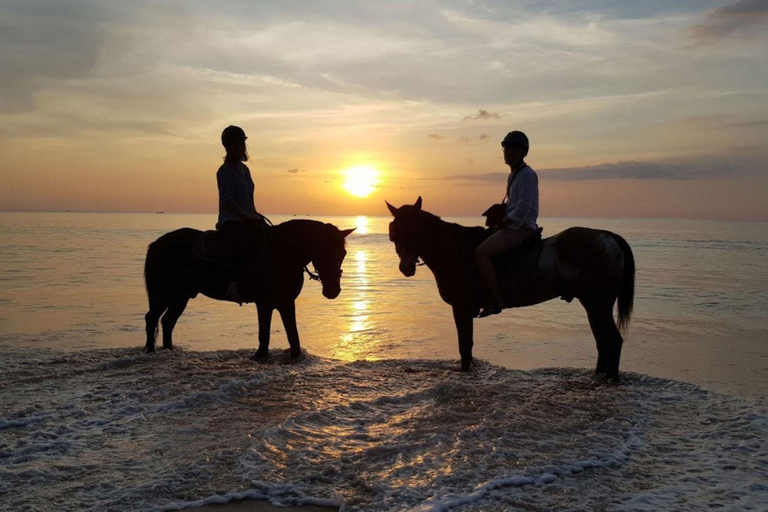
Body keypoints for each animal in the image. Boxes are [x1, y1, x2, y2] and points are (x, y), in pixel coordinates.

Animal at [143, 220, 354, 360]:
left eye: (342, 253)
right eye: (324, 250)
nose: (333, 290)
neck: (282, 253)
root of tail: (156, 244)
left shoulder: (286, 302)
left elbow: (292, 333)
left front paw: (295, 357)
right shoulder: (265, 303)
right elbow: (265, 332)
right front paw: (260, 356)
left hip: (181, 296)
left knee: (168, 321)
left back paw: (168, 351)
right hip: (166, 294)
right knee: (152, 318)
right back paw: (150, 351)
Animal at [388, 198, 632, 382]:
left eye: (413, 230)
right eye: (395, 232)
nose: (405, 267)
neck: (455, 250)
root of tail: (607, 236)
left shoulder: (461, 308)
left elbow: (465, 346)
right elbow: (467, 346)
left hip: (598, 304)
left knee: (613, 340)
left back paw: (610, 380)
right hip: (592, 305)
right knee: (602, 341)